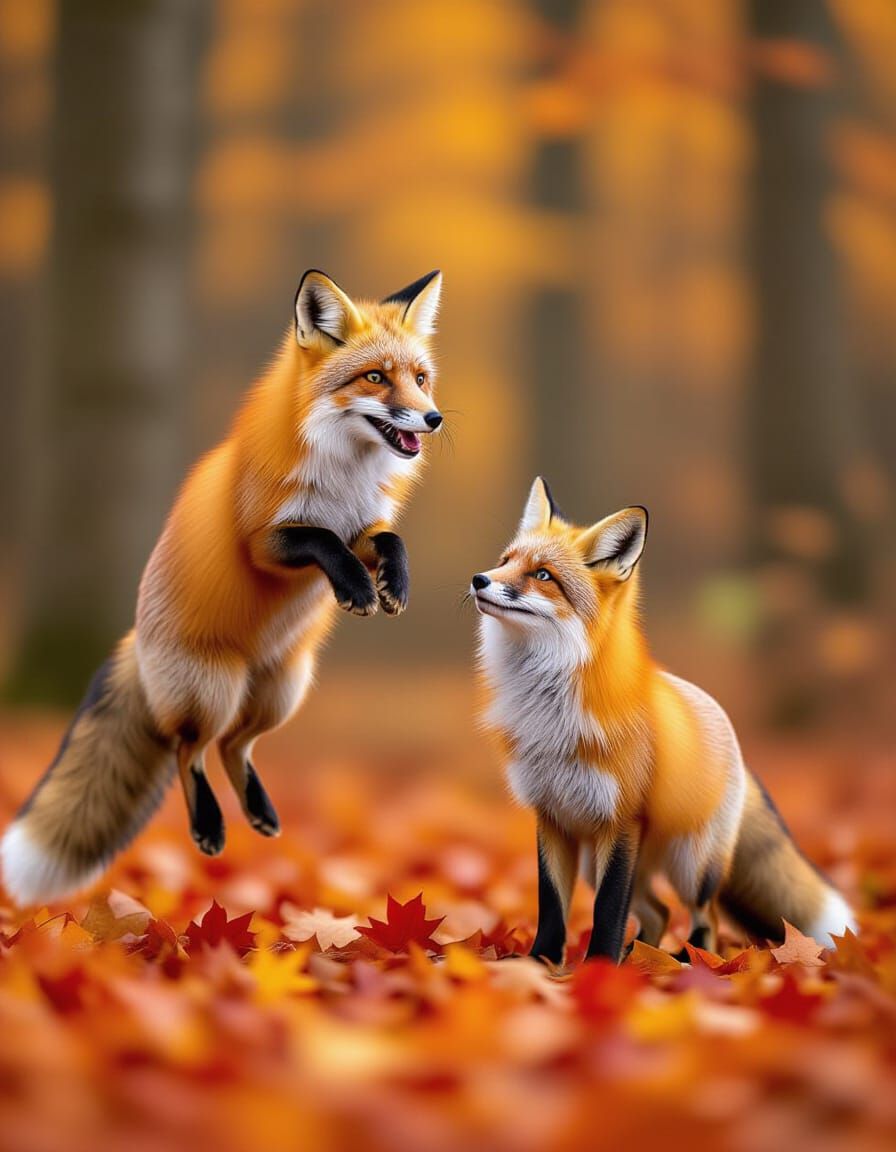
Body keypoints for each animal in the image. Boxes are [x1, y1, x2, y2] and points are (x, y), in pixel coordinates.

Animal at [2, 269, 444, 906]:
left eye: (421, 379)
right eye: (376, 377)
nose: (433, 419)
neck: (344, 476)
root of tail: (136, 638)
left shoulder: (363, 524)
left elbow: (390, 540)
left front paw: (393, 585)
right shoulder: (265, 542)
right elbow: (320, 540)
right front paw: (358, 589)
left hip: (281, 691)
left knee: (236, 747)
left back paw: (259, 810)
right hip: (211, 690)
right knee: (188, 750)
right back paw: (208, 826)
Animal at [472, 477, 857, 964]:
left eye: (542, 575)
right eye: (505, 562)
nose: (479, 579)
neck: (551, 712)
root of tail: (731, 737)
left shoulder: (621, 822)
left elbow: (607, 910)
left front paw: (597, 969)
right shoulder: (552, 818)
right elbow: (552, 905)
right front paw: (542, 965)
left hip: (691, 868)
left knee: (704, 919)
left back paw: (687, 963)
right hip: (596, 863)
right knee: (657, 913)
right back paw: (641, 959)